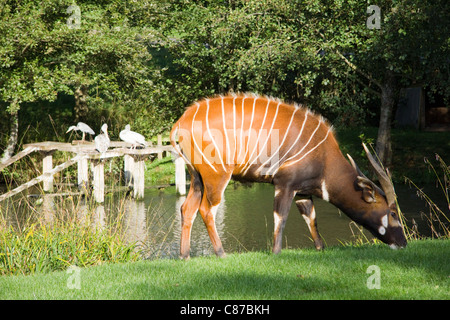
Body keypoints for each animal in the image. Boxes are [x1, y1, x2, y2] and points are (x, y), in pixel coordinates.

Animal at [170, 94, 408, 258]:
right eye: (393, 213)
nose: (404, 243)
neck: (325, 157)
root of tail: (180, 122)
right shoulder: (285, 184)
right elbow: (281, 216)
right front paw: (276, 252)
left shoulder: (303, 191)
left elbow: (311, 218)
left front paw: (321, 248)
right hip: (217, 175)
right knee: (206, 209)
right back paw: (221, 253)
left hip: (197, 178)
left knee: (187, 208)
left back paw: (185, 256)